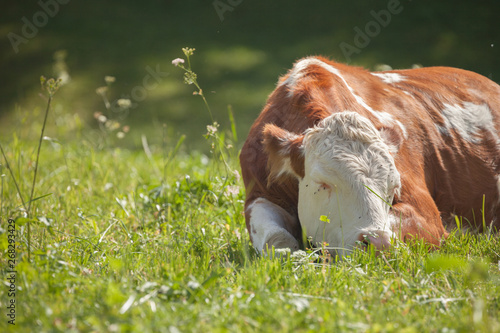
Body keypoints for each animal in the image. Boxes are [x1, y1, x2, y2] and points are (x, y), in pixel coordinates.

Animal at [239, 55, 500, 255]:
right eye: (323, 184)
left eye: (392, 187)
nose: (377, 243)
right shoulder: (259, 192)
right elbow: (276, 239)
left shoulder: (426, 215)